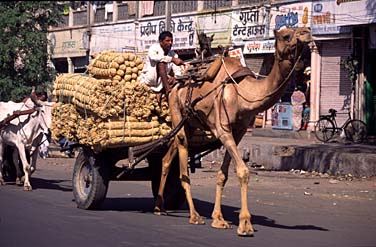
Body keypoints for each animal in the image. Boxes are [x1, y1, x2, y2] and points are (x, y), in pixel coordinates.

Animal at [154, 26, 312, 236]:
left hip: (189, 124)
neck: (244, 94)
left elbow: (223, 174)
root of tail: (174, 83)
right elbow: (243, 171)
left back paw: (159, 207)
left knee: (166, 157)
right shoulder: (222, 130)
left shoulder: (238, 132)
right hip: (176, 110)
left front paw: (218, 219)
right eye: (286, 35)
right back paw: (194, 215)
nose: (307, 31)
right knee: (182, 165)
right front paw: (245, 224)